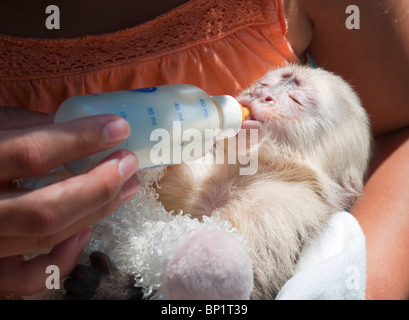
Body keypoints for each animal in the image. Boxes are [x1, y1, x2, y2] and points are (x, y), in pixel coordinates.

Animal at [63, 64, 370, 300]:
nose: (263, 94)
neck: (240, 172)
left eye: (296, 100)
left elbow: (241, 286)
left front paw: (108, 287)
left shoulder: (279, 209)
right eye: (267, 83)